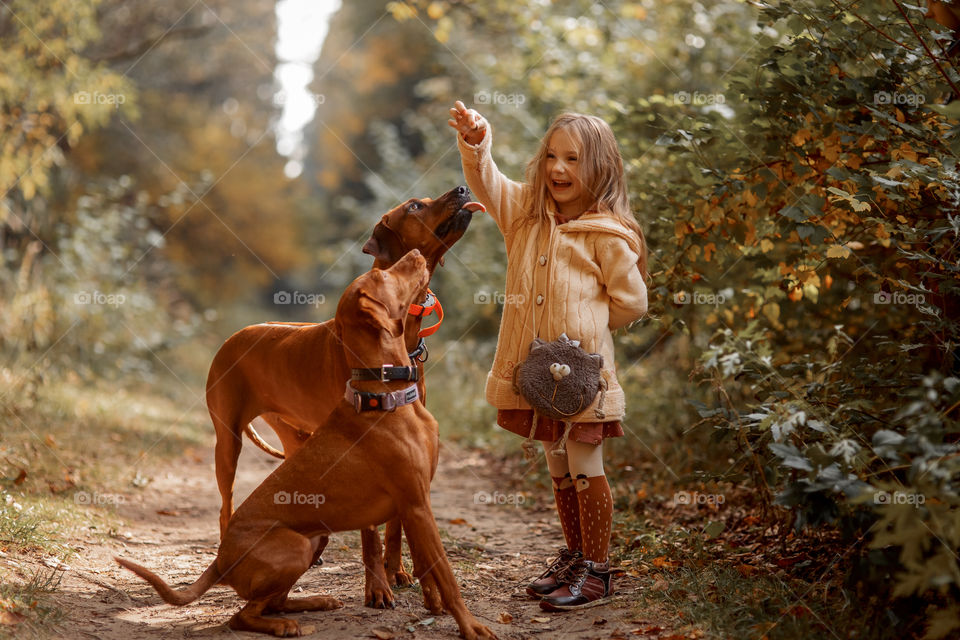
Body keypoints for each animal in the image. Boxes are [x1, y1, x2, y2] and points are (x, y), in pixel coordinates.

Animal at [116, 251, 498, 640]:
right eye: (383, 275)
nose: (418, 253)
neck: (385, 392)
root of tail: (220, 562)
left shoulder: (414, 504)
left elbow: (426, 564)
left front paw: (433, 605)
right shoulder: (417, 503)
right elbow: (446, 572)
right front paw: (471, 626)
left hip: (314, 533)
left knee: (274, 601)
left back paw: (316, 601)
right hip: (273, 511)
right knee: (243, 613)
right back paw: (285, 624)